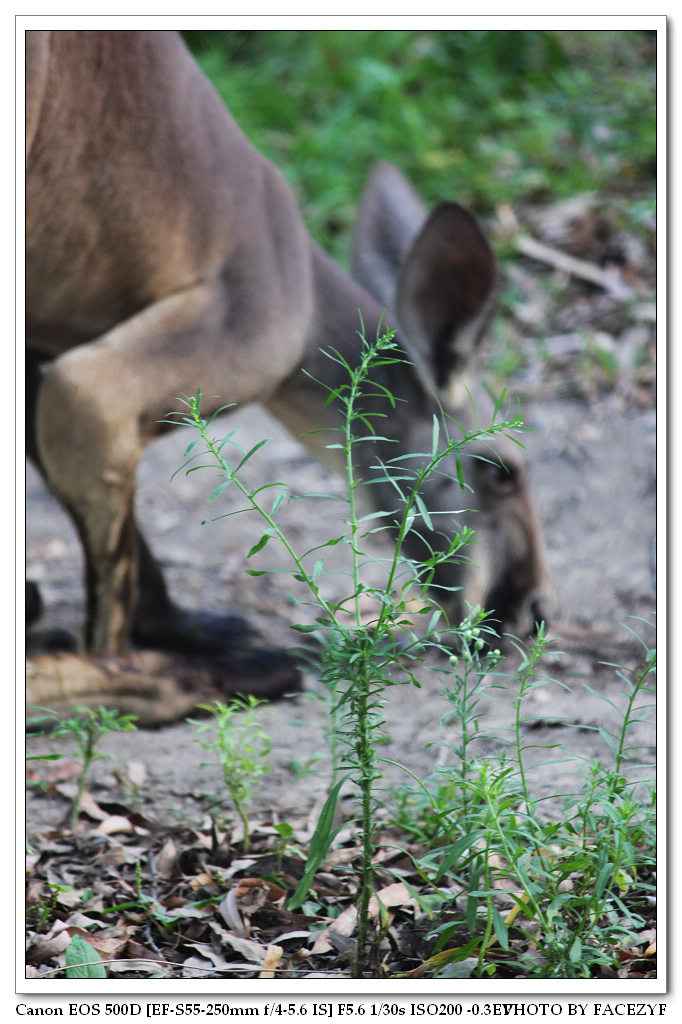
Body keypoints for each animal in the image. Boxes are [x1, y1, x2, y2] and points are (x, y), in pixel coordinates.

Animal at [26, 28, 552, 708]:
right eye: (501, 474)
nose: (534, 613)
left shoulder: (37, 341)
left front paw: (177, 623)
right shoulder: (226, 330)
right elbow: (85, 416)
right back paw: (228, 673)